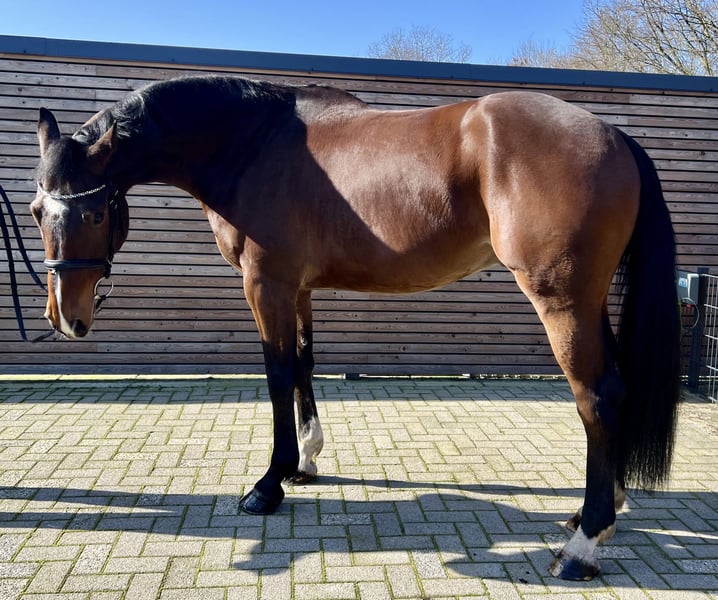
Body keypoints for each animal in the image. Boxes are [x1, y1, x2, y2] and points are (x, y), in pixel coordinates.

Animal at [31, 75, 680, 580]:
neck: (252, 143)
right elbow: (303, 366)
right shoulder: (297, 289)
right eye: (38, 211)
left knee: (598, 398)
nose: (66, 317)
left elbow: (276, 374)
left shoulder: (265, 284)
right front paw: (306, 462)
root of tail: (613, 135)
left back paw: (582, 545)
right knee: (615, 390)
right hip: (588, 301)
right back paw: (595, 512)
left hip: (562, 301)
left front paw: (269, 484)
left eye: (95, 211)